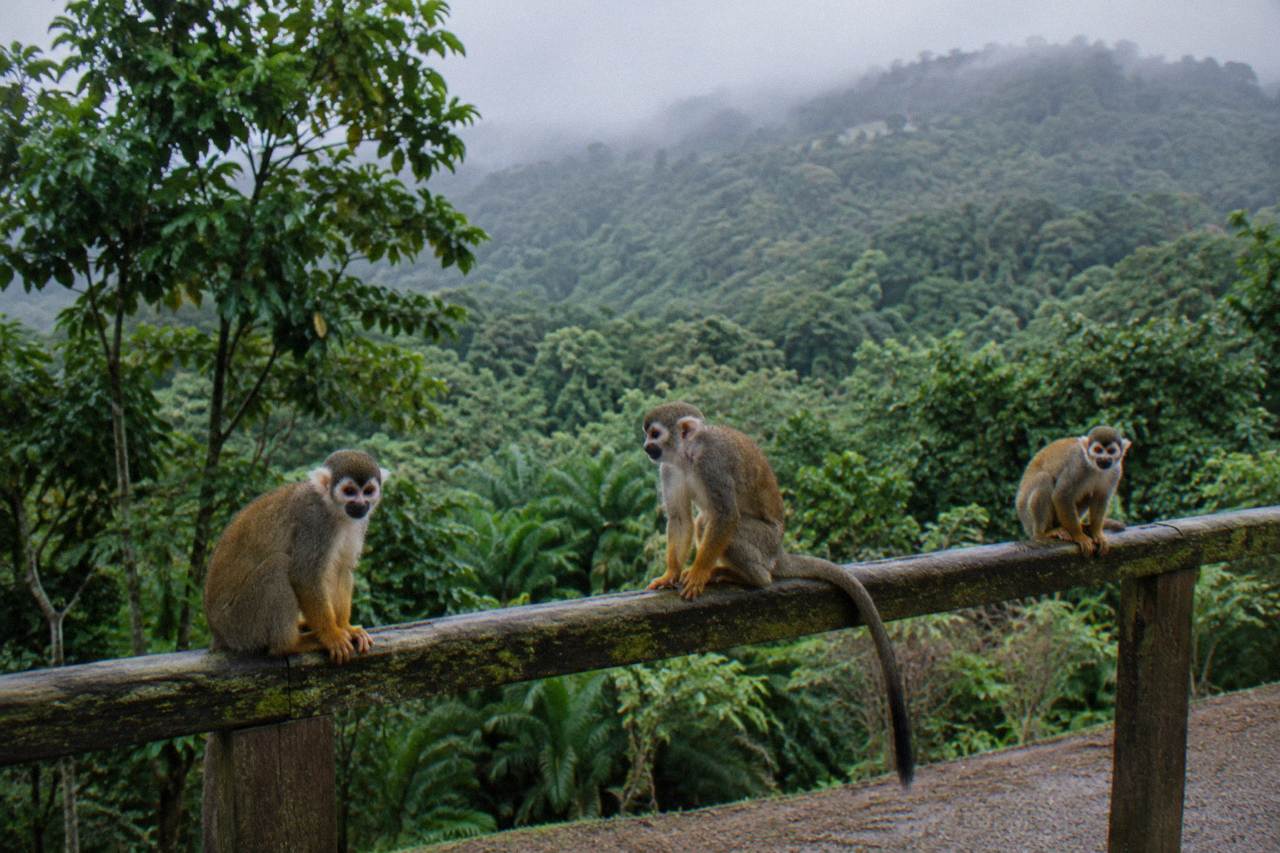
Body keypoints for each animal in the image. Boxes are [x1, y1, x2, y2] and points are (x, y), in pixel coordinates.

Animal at [203, 449, 388, 665]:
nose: (360, 504)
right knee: (277, 566)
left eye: (368, 491)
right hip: (240, 624)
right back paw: (290, 644)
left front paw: (345, 627)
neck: (333, 509)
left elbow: (342, 567)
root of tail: (217, 632)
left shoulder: (358, 523)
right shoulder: (315, 523)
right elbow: (305, 576)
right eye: (349, 491)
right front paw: (331, 634)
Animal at [641, 402, 914, 787]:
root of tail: (779, 551)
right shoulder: (669, 468)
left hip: (763, 541)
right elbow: (679, 518)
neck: (687, 456)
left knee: (726, 524)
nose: (645, 447)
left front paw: (697, 574)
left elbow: (725, 515)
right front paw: (671, 574)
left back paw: (750, 577)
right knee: (700, 519)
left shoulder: (713, 464)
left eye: (655, 434)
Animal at [1016, 425, 1132, 557]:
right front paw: (1079, 535)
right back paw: (1043, 533)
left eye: (1111, 451)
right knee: (1043, 478)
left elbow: (1101, 497)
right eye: (1097, 450)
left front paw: (1096, 533)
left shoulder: (1116, 471)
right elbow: (1061, 495)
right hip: (1026, 515)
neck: (1094, 466)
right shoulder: (1077, 466)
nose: (1103, 458)